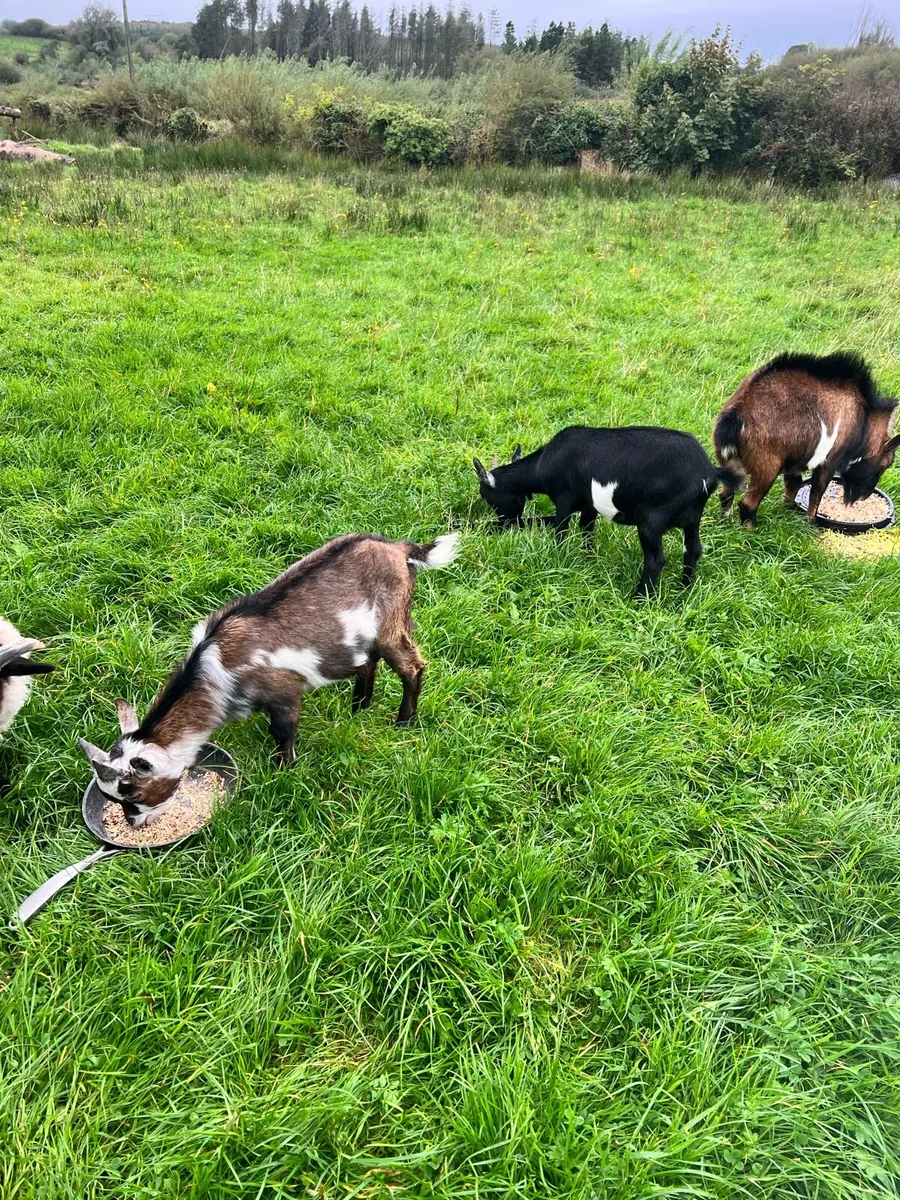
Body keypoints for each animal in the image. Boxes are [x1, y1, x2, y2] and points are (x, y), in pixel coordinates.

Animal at [78, 532, 459, 827]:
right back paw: (359, 707)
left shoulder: (284, 692)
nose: (133, 823)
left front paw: (283, 772)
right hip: (361, 638)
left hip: (392, 623)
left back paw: (404, 722)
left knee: (411, 666)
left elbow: (283, 732)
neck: (213, 669)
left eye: (133, 792)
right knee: (368, 663)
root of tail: (400, 548)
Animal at [473, 426, 742, 598]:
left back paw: (640, 599)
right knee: (693, 551)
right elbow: (585, 529)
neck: (543, 464)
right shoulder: (588, 506)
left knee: (655, 559)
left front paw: (558, 557)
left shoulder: (564, 500)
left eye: (487, 497)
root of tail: (710, 472)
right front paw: (588, 558)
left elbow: (559, 529)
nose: (503, 522)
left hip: (653, 519)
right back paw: (684, 590)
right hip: (692, 519)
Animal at [714, 352, 899, 528]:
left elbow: (794, 483)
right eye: (886, 464)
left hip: (729, 461)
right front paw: (811, 523)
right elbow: (817, 492)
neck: (863, 419)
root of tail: (735, 415)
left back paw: (726, 522)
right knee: (748, 504)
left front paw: (786, 508)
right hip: (766, 467)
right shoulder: (829, 460)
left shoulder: (795, 460)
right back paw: (753, 530)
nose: (863, 496)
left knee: (726, 494)